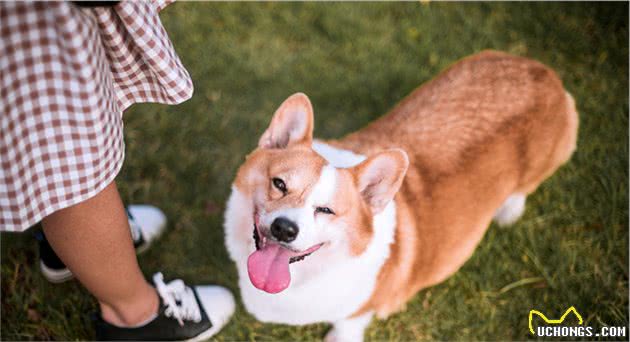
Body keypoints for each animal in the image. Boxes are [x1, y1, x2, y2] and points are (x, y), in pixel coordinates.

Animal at [225, 49, 580, 340]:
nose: (284, 229)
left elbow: (347, 325)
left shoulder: (359, 312)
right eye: (279, 184)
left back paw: (508, 213)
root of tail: (544, 72)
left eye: (326, 210)